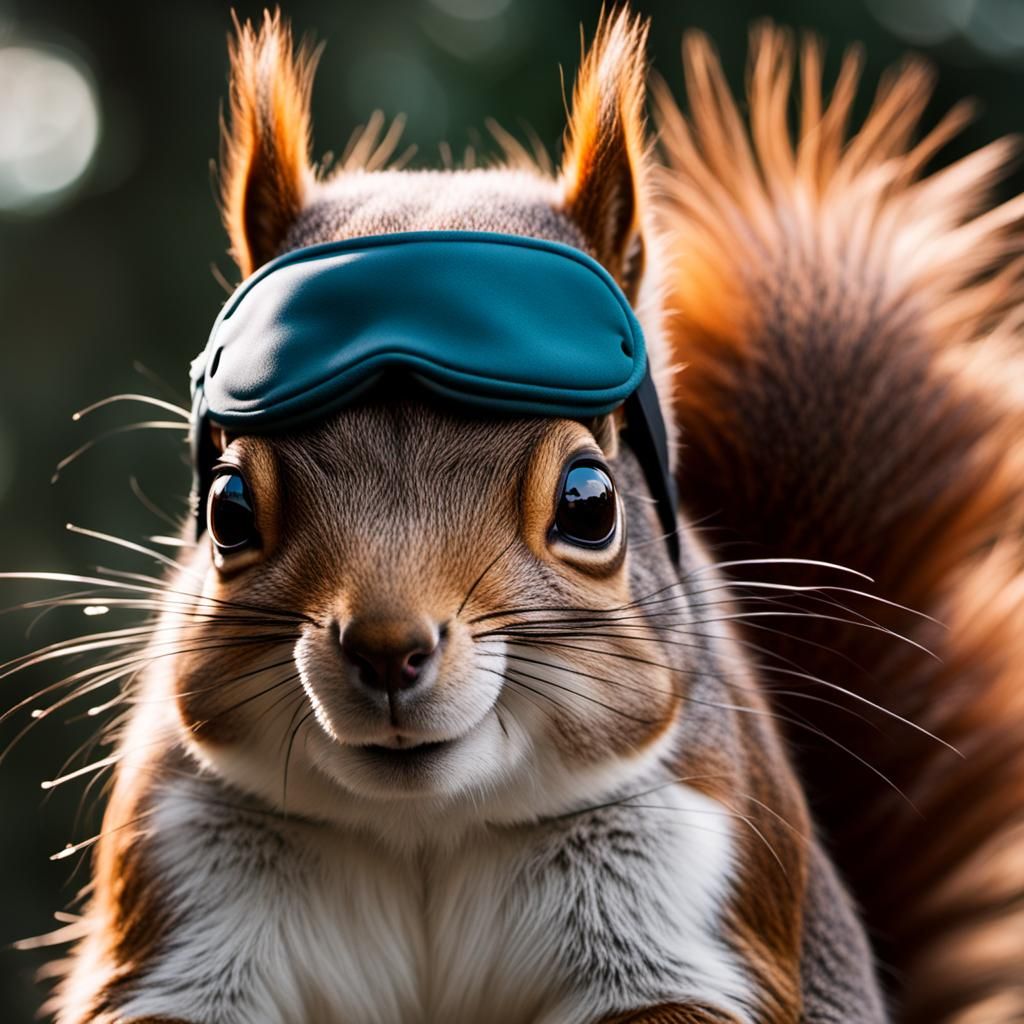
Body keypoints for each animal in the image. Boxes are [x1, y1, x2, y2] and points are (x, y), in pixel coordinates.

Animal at [9, 8, 1023, 1024]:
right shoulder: (179, 883)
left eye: (590, 503)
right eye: (228, 507)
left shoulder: (701, 876)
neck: (424, 827)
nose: (386, 648)